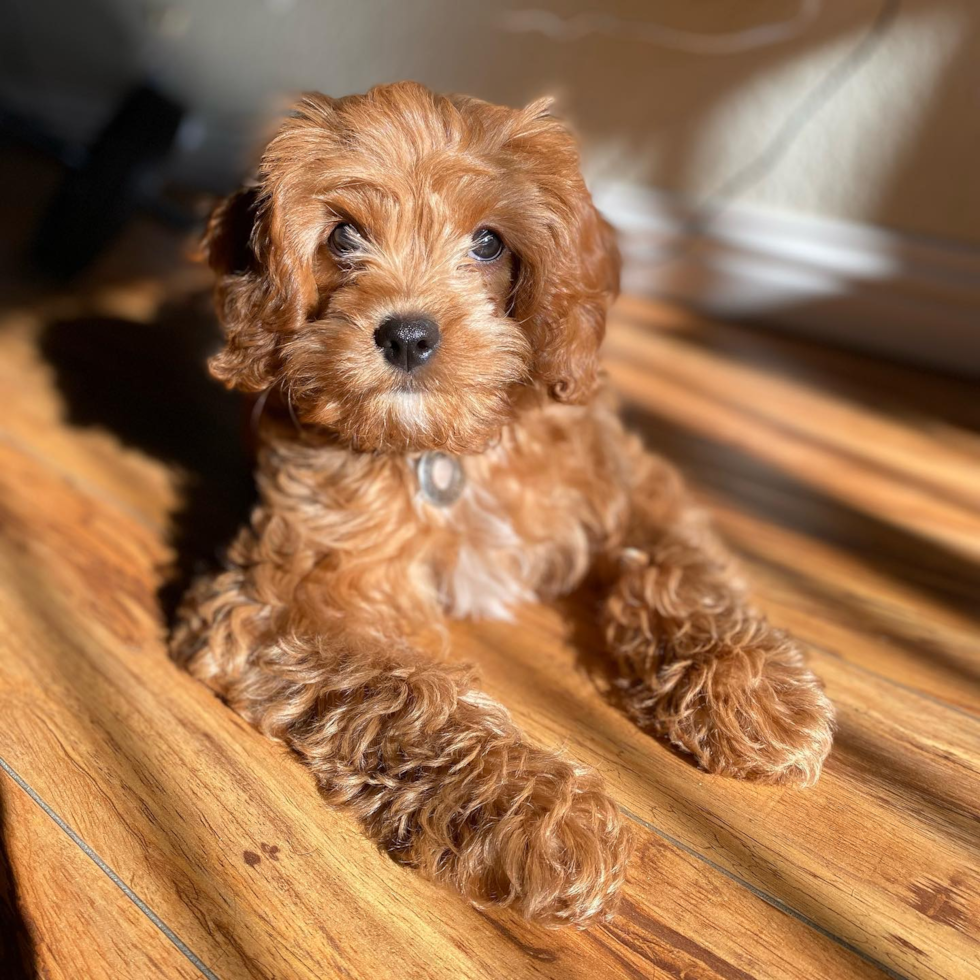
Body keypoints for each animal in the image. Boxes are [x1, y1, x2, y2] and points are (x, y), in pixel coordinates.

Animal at [174, 82, 836, 928]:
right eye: (344, 235)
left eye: (488, 243)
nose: (408, 336)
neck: (448, 449)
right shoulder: (286, 595)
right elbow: (407, 689)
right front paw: (539, 815)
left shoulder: (626, 477)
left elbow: (682, 566)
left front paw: (753, 689)